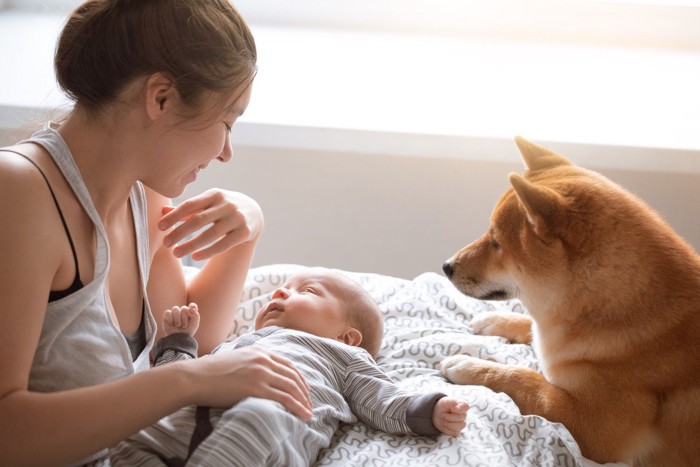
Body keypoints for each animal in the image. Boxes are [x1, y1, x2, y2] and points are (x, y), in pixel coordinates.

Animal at [440, 137, 700, 466]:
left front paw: (472, 366)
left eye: (496, 242)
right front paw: (496, 320)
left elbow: (526, 379)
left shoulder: (593, 428)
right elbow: (528, 325)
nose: (446, 266)